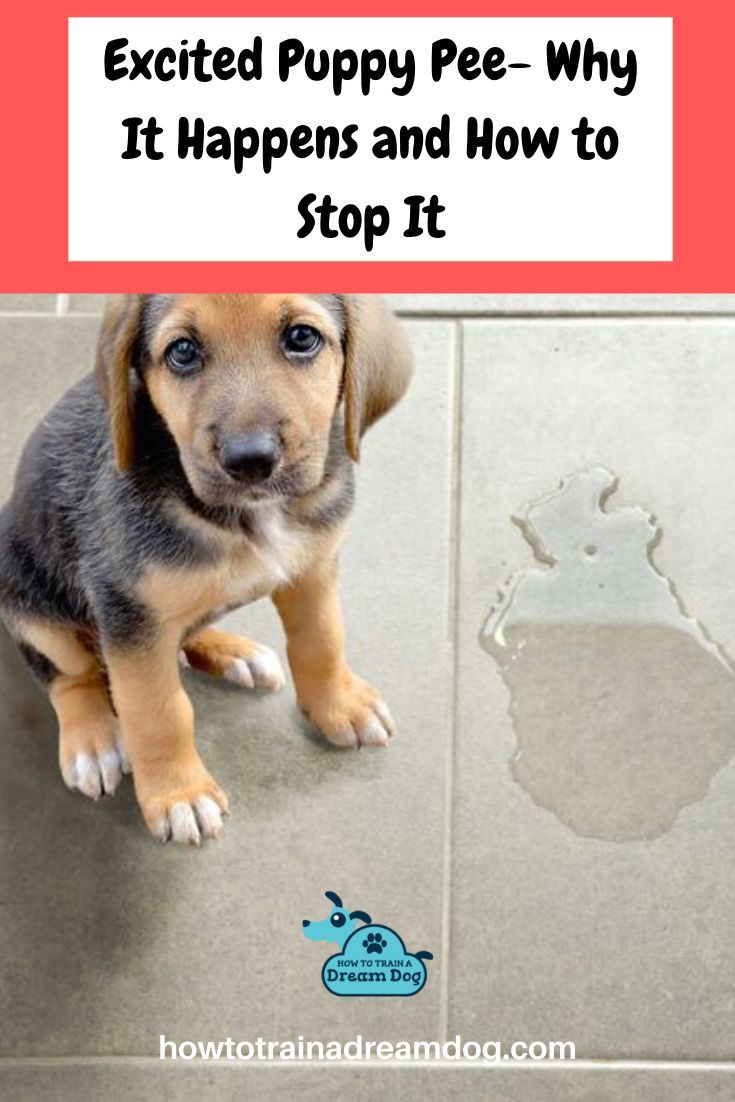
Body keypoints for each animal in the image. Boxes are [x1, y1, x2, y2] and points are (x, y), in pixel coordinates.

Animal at [0, 293, 414, 841]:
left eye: (302, 338)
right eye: (182, 351)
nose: (250, 460)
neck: (249, 517)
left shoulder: (313, 567)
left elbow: (322, 640)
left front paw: (338, 703)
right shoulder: (127, 610)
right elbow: (158, 711)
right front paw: (179, 793)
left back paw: (235, 653)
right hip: (29, 600)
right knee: (70, 674)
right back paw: (93, 740)